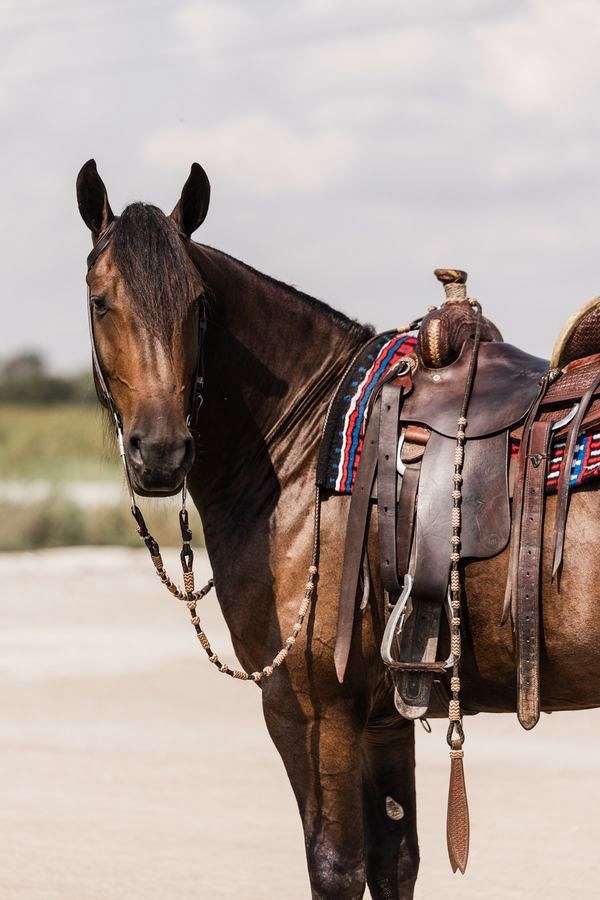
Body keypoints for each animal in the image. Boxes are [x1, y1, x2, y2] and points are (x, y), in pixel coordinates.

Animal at [76, 159, 600, 899]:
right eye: (101, 302)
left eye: (199, 305)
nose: (161, 451)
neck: (304, 445)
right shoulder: (383, 712)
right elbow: (395, 859)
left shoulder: (312, 709)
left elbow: (336, 867)